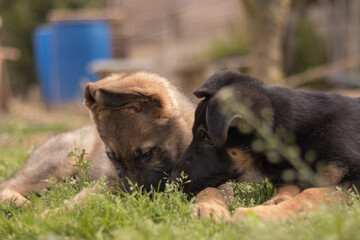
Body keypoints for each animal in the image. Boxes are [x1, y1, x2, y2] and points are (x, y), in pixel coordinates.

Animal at [0, 71, 195, 206]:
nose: (139, 199)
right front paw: (53, 214)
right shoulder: (110, 180)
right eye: (111, 156)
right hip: (59, 167)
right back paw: (16, 201)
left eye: (148, 153)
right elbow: (84, 197)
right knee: (7, 184)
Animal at [169, 71, 360, 221]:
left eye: (206, 138)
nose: (172, 181)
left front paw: (258, 214)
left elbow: (312, 193)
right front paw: (274, 202)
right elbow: (289, 188)